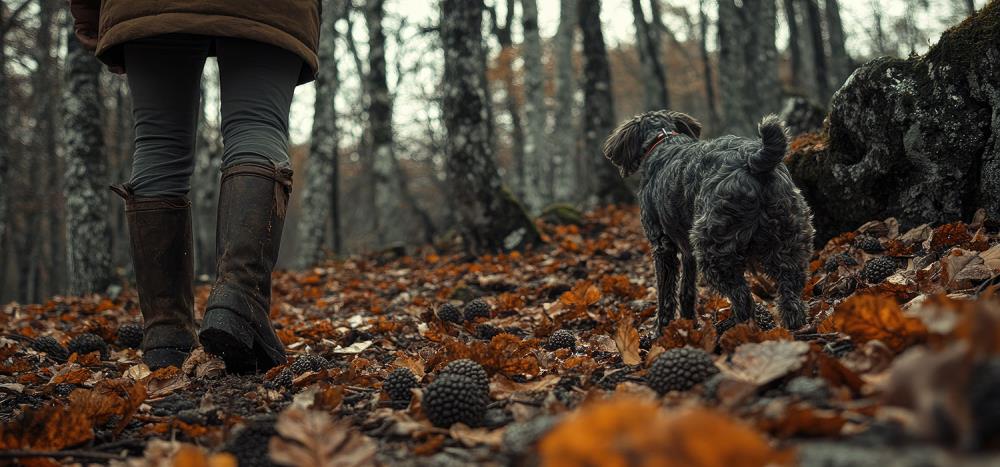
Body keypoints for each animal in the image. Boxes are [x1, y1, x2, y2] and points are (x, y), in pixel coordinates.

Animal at [600, 111, 812, 334]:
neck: (663, 140)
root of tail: (753, 161)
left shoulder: (662, 246)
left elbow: (665, 295)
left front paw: (660, 331)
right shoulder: (688, 251)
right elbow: (687, 290)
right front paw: (687, 324)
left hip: (715, 252)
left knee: (743, 299)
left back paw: (735, 330)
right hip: (788, 242)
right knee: (791, 294)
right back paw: (793, 327)